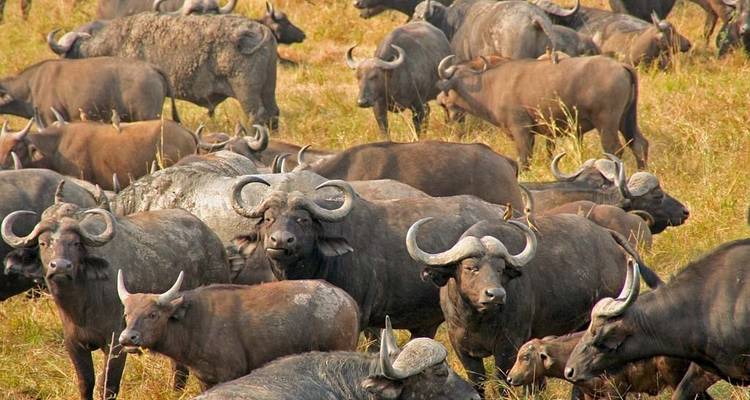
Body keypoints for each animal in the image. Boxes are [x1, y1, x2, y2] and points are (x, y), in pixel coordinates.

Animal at [1, 183, 233, 399]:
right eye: (43, 243)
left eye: (75, 243)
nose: (60, 266)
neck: (82, 304)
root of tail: (213, 240)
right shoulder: (74, 344)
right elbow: (85, 383)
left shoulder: (116, 343)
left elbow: (108, 386)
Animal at [48, 14, 279, 128]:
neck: (117, 43)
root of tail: (261, 30)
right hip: (268, 89)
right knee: (273, 113)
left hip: (246, 91)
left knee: (257, 115)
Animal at [118, 273, 359, 389]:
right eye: (127, 314)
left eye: (153, 314)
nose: (127, 338)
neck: (195, 323)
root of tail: (347, 299)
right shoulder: (204, 379)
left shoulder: (230, 374)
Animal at [406, 215, 661, 394]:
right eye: (470, 267)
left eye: (500, 269)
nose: (496, 295)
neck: (478, 319)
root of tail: (607, 235)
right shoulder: (461, 347)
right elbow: (477, 383)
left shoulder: (509, 345)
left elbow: (502, 382)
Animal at [436, 55, 649, 169]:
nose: (438, 99)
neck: (491, 85)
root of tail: (620, 65)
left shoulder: (521, 130)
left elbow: (523, 158)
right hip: (626, 120)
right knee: (639, 144)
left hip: (607, 124)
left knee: (614, 149)